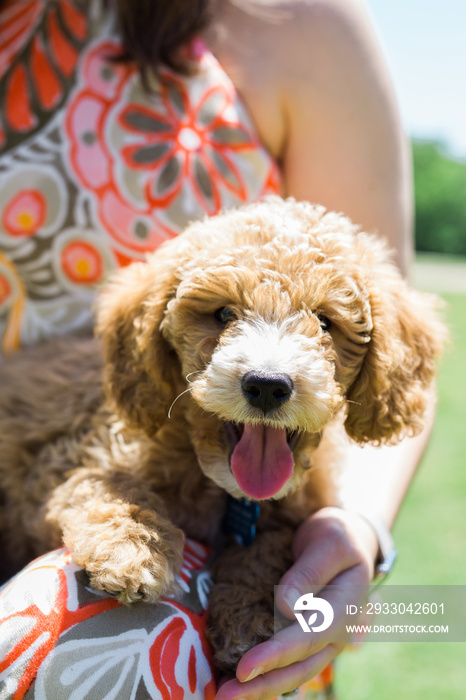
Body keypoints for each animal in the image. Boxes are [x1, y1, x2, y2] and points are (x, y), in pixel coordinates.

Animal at [0, 196, 444, 668]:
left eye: (325, 323)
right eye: (224, 314)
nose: (267, 384)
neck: (228, 491)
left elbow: (269, 546)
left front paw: (247, 615)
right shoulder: (66, 457)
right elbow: (108, 484)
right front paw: (132, 551)